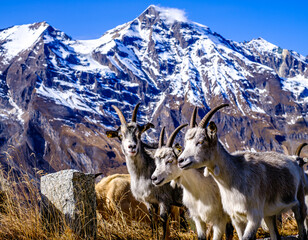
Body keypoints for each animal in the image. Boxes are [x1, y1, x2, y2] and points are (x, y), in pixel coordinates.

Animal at [177, 104, 306, 240]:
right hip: (268, 214)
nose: (181, 161)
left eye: (201, 141)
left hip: (299, 200)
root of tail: (295, 161)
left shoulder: (254, 217)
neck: (236, 175)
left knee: (301, 222)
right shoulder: (236, 218)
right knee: (274, 233)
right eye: (186, 142)